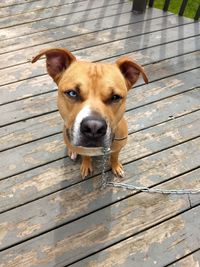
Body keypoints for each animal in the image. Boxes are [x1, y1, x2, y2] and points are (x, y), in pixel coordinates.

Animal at [31, 48, 148, 178]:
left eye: (115, 97)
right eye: (72, 93)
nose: (94, 128)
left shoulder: (118, 147)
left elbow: (114, 157)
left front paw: (116, 166)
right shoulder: (83, 149)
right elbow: (86, 156)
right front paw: (86, 165)